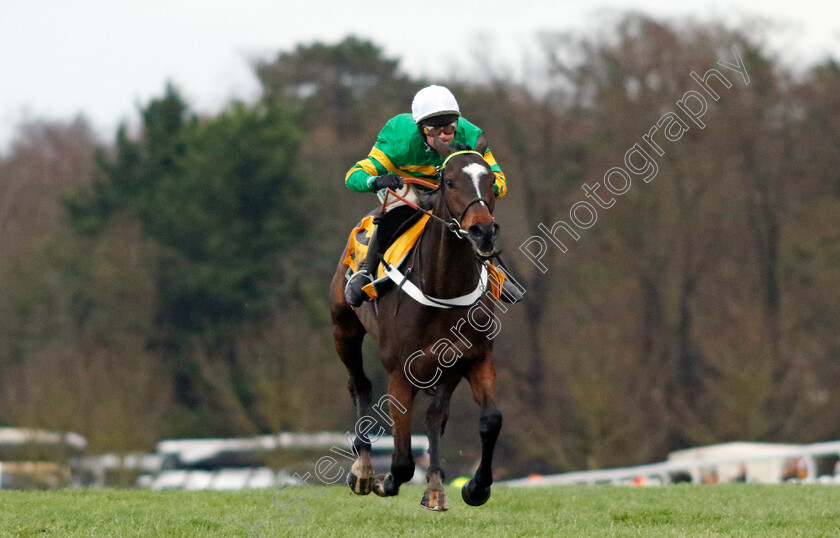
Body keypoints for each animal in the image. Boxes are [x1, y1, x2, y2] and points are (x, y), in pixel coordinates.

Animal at [328, 136, 502, 508]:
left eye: (490, 180)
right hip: (343, 327)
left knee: (435, 416)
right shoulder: (399, 371)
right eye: (449, 182)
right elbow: (403, 460)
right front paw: (386, 481)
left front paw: (475, 487)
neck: (444, 288)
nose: (483, 231)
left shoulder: (472, 359)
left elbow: (487, 420)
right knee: (360, 384)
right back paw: (364, 469)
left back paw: (435, 486)